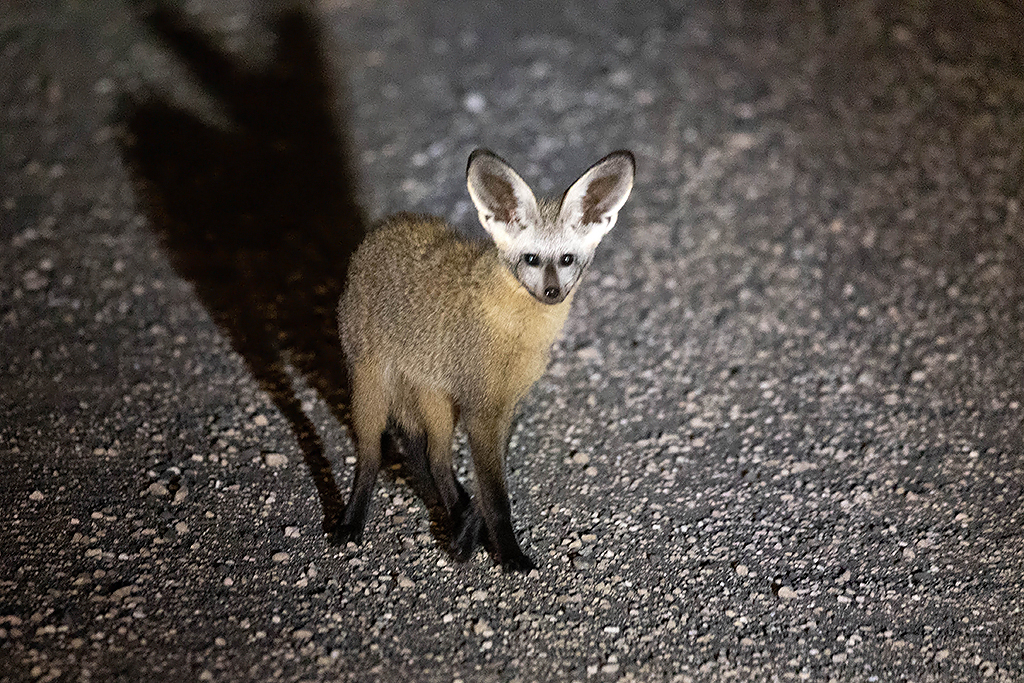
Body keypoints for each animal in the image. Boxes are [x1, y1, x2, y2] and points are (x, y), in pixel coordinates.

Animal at [334, 148, 635, 571]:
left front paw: (468, 531)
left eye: (567, 259)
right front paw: (509, 554)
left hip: (435, 397)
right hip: (371, 387)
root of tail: (387, 226)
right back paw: (352, 520)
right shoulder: (482, 408)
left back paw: (456, 513)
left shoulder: (503, 405)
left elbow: (487, 485)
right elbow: (495, 497)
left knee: (434, 458)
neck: (515, 334)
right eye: (531, 259)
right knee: (372, 454)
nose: (552, 292)